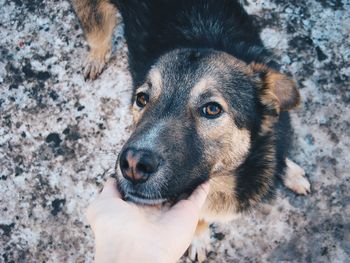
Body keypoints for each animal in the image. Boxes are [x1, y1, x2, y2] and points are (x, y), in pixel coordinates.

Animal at [72, 1, 310, 262]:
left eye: (212, 109)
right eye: (142, 99)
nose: (133, 165)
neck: (233, 176)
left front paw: (291, 173)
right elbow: (198, 218)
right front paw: (199, 237)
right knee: (97, 34)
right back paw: (96, 56)